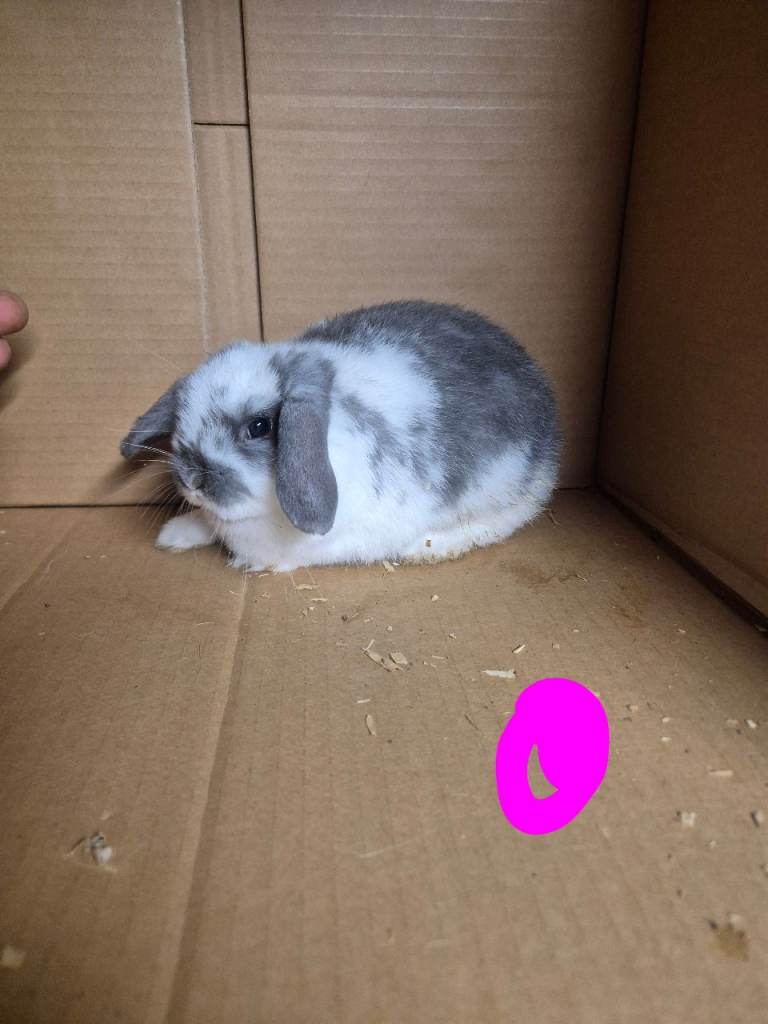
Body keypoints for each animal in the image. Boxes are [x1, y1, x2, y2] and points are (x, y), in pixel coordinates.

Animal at [120, 300, 560, 573]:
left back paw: (427, 547)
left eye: (260, 426)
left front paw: (256, 563)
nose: (190, 480)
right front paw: (172, 535)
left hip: (506, 497)